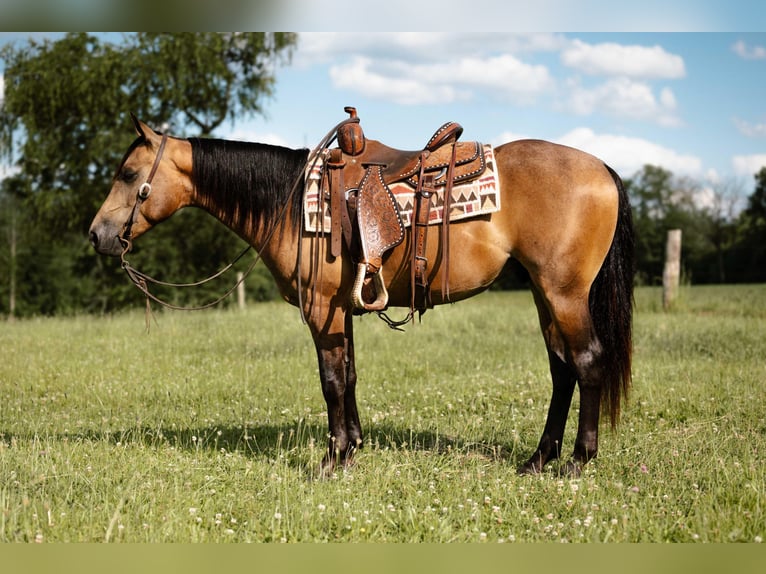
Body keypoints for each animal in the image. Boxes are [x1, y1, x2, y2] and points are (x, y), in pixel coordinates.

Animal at [89, 113, 634, 477]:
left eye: (128, 175)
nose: (97, 235)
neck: (292, 203)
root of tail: (603, 168)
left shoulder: (321, 310)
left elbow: (331, 381)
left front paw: (332, 460)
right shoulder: (341, 310)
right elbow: (349, 375)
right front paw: (353, 447)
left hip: (564, 294)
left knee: (587, 362)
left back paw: (578, 461)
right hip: (545, 295)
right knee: (562, 370)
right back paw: (538, 459)